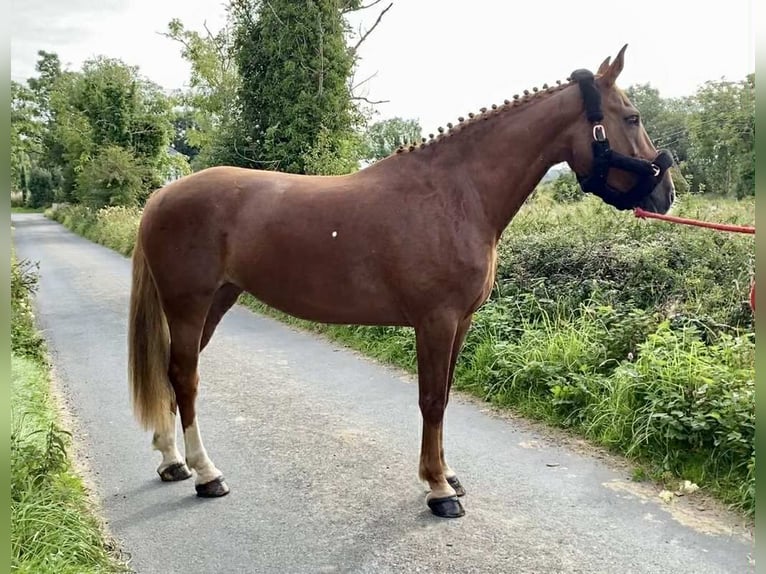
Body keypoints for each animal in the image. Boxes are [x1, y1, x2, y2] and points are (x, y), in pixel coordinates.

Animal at [128, 45, 676, 518]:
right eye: (632, 118)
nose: (667, 194)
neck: (456, 194)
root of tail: (161, 196)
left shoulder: (460, 322)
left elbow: (446, 395)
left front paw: (447, 475)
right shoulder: (436, 321)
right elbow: (431, 400)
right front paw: (438, 490)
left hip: (217, 301)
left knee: (175, 374)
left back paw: (172, 461)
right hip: (190, 303)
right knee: (185, 377)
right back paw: (206, 473)